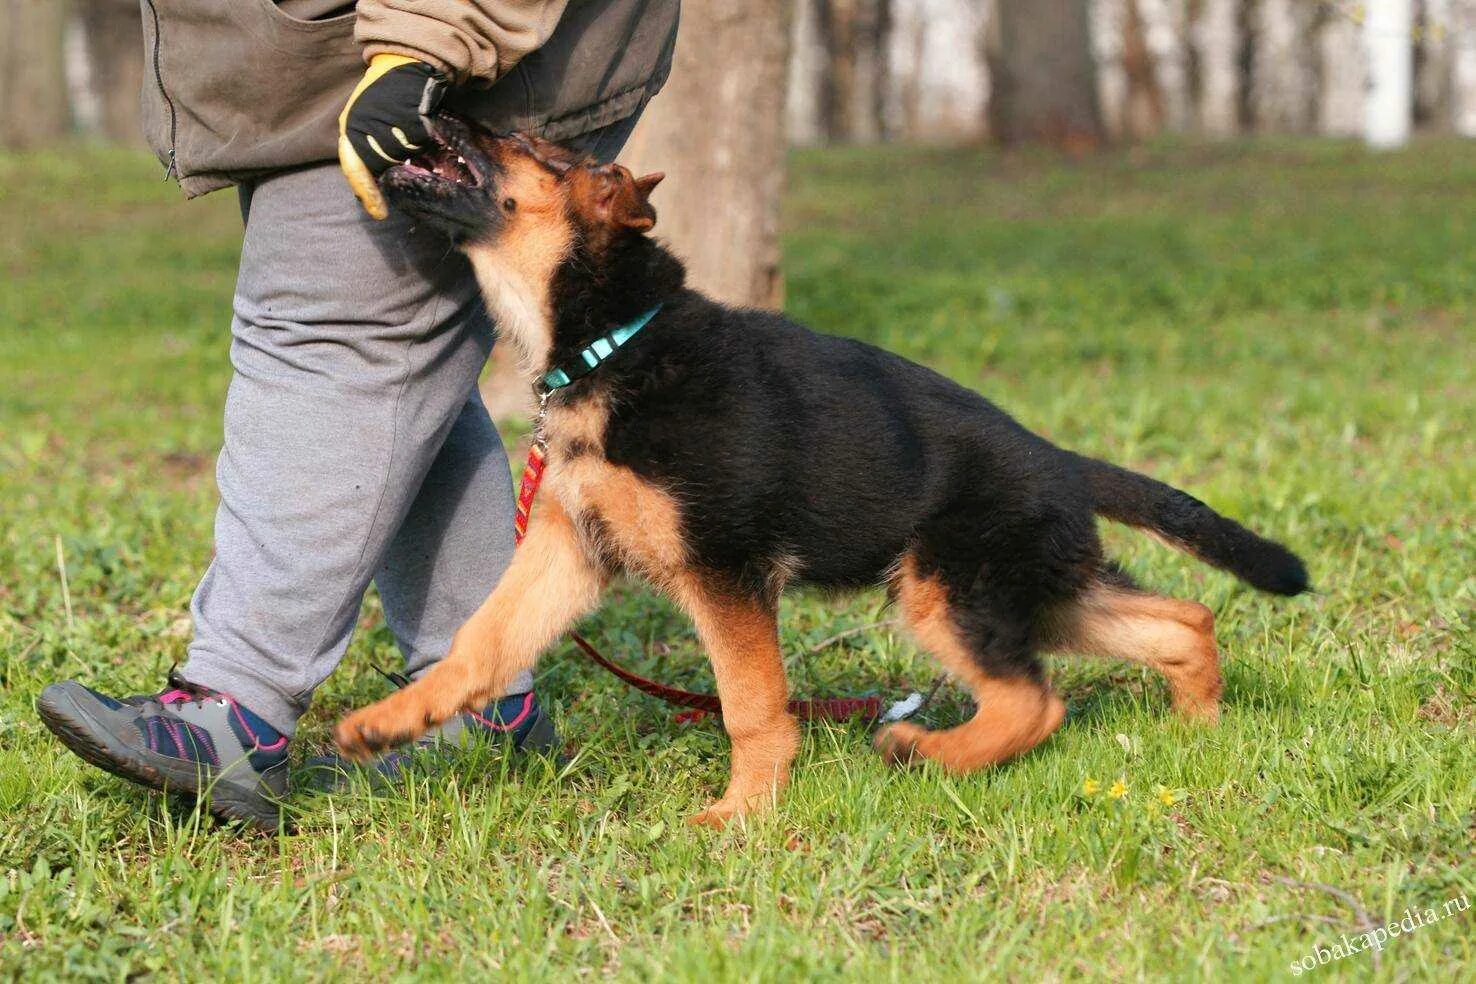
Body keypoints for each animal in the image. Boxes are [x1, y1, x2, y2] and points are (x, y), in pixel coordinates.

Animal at [339, 113, 1310, 826]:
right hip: (1036, 589)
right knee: (1181, 622)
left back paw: (927, 751)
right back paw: (1198, 735)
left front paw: (741, 817)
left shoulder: (724, 570)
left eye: (536, 151)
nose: (442, 104)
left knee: (1033, 703)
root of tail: (1059, 458)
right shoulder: (568, 554)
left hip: (949, 590)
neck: (613, 341)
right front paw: (390, 723)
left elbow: (750, 703)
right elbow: (481, 642)